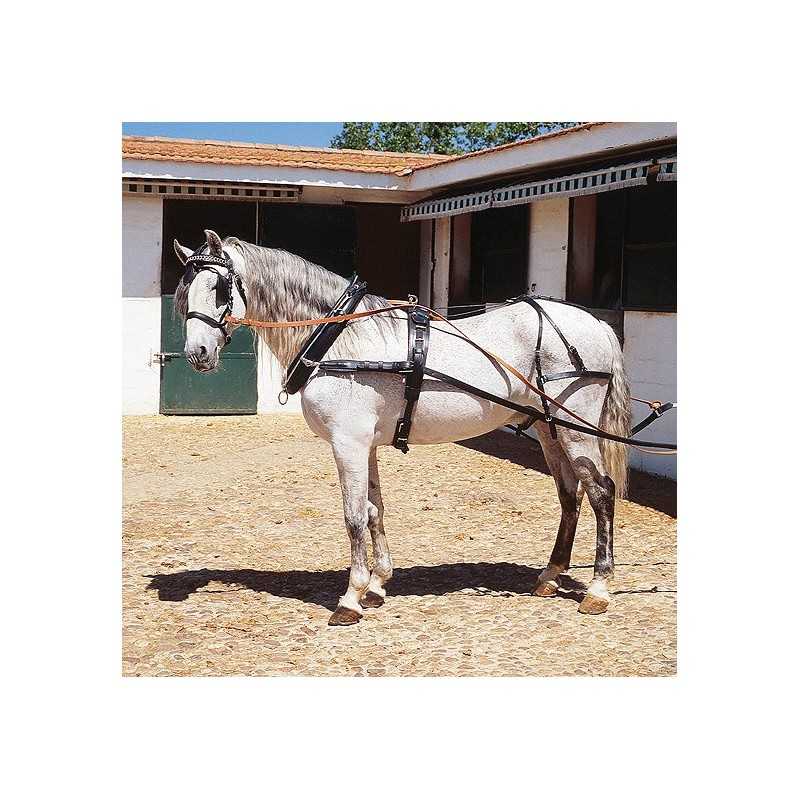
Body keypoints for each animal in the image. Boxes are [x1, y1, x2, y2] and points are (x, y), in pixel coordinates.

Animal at [173, 229, 631, 626]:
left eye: (219, 289)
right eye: (185, 291)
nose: (197, 353)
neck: (341, 338)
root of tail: (594, 323)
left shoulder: (348, 443)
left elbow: (354, 516)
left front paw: (351, 598)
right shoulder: (367, 445)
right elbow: (375, 510)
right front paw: (377, 585)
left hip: (576, 429)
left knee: (600, 492)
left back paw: (598, 589)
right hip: (550, 429)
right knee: (570, 495)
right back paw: (550, 575)